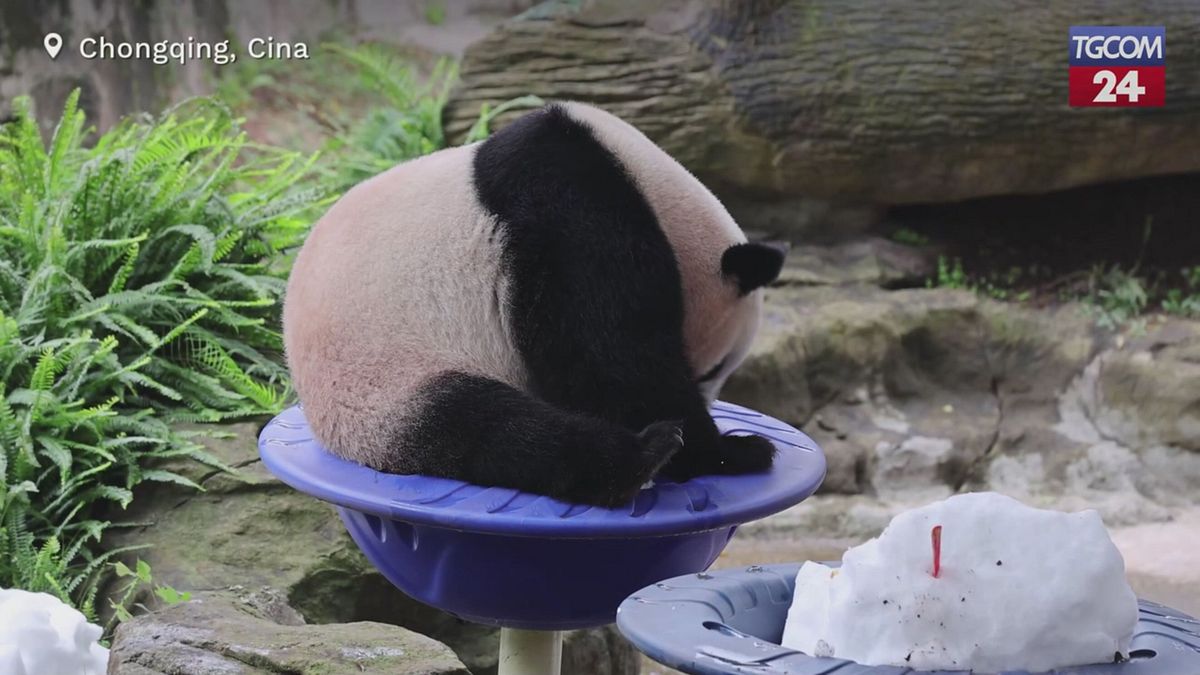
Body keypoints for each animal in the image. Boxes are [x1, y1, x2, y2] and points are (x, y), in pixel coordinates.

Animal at [283, 102, 786, 507]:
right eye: (712, 369)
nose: (708, 398)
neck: (655, 191)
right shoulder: (569, 208)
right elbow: (609, 360)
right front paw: (727, 450)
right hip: (384, 379)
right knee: (489, 430)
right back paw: (641, 456)